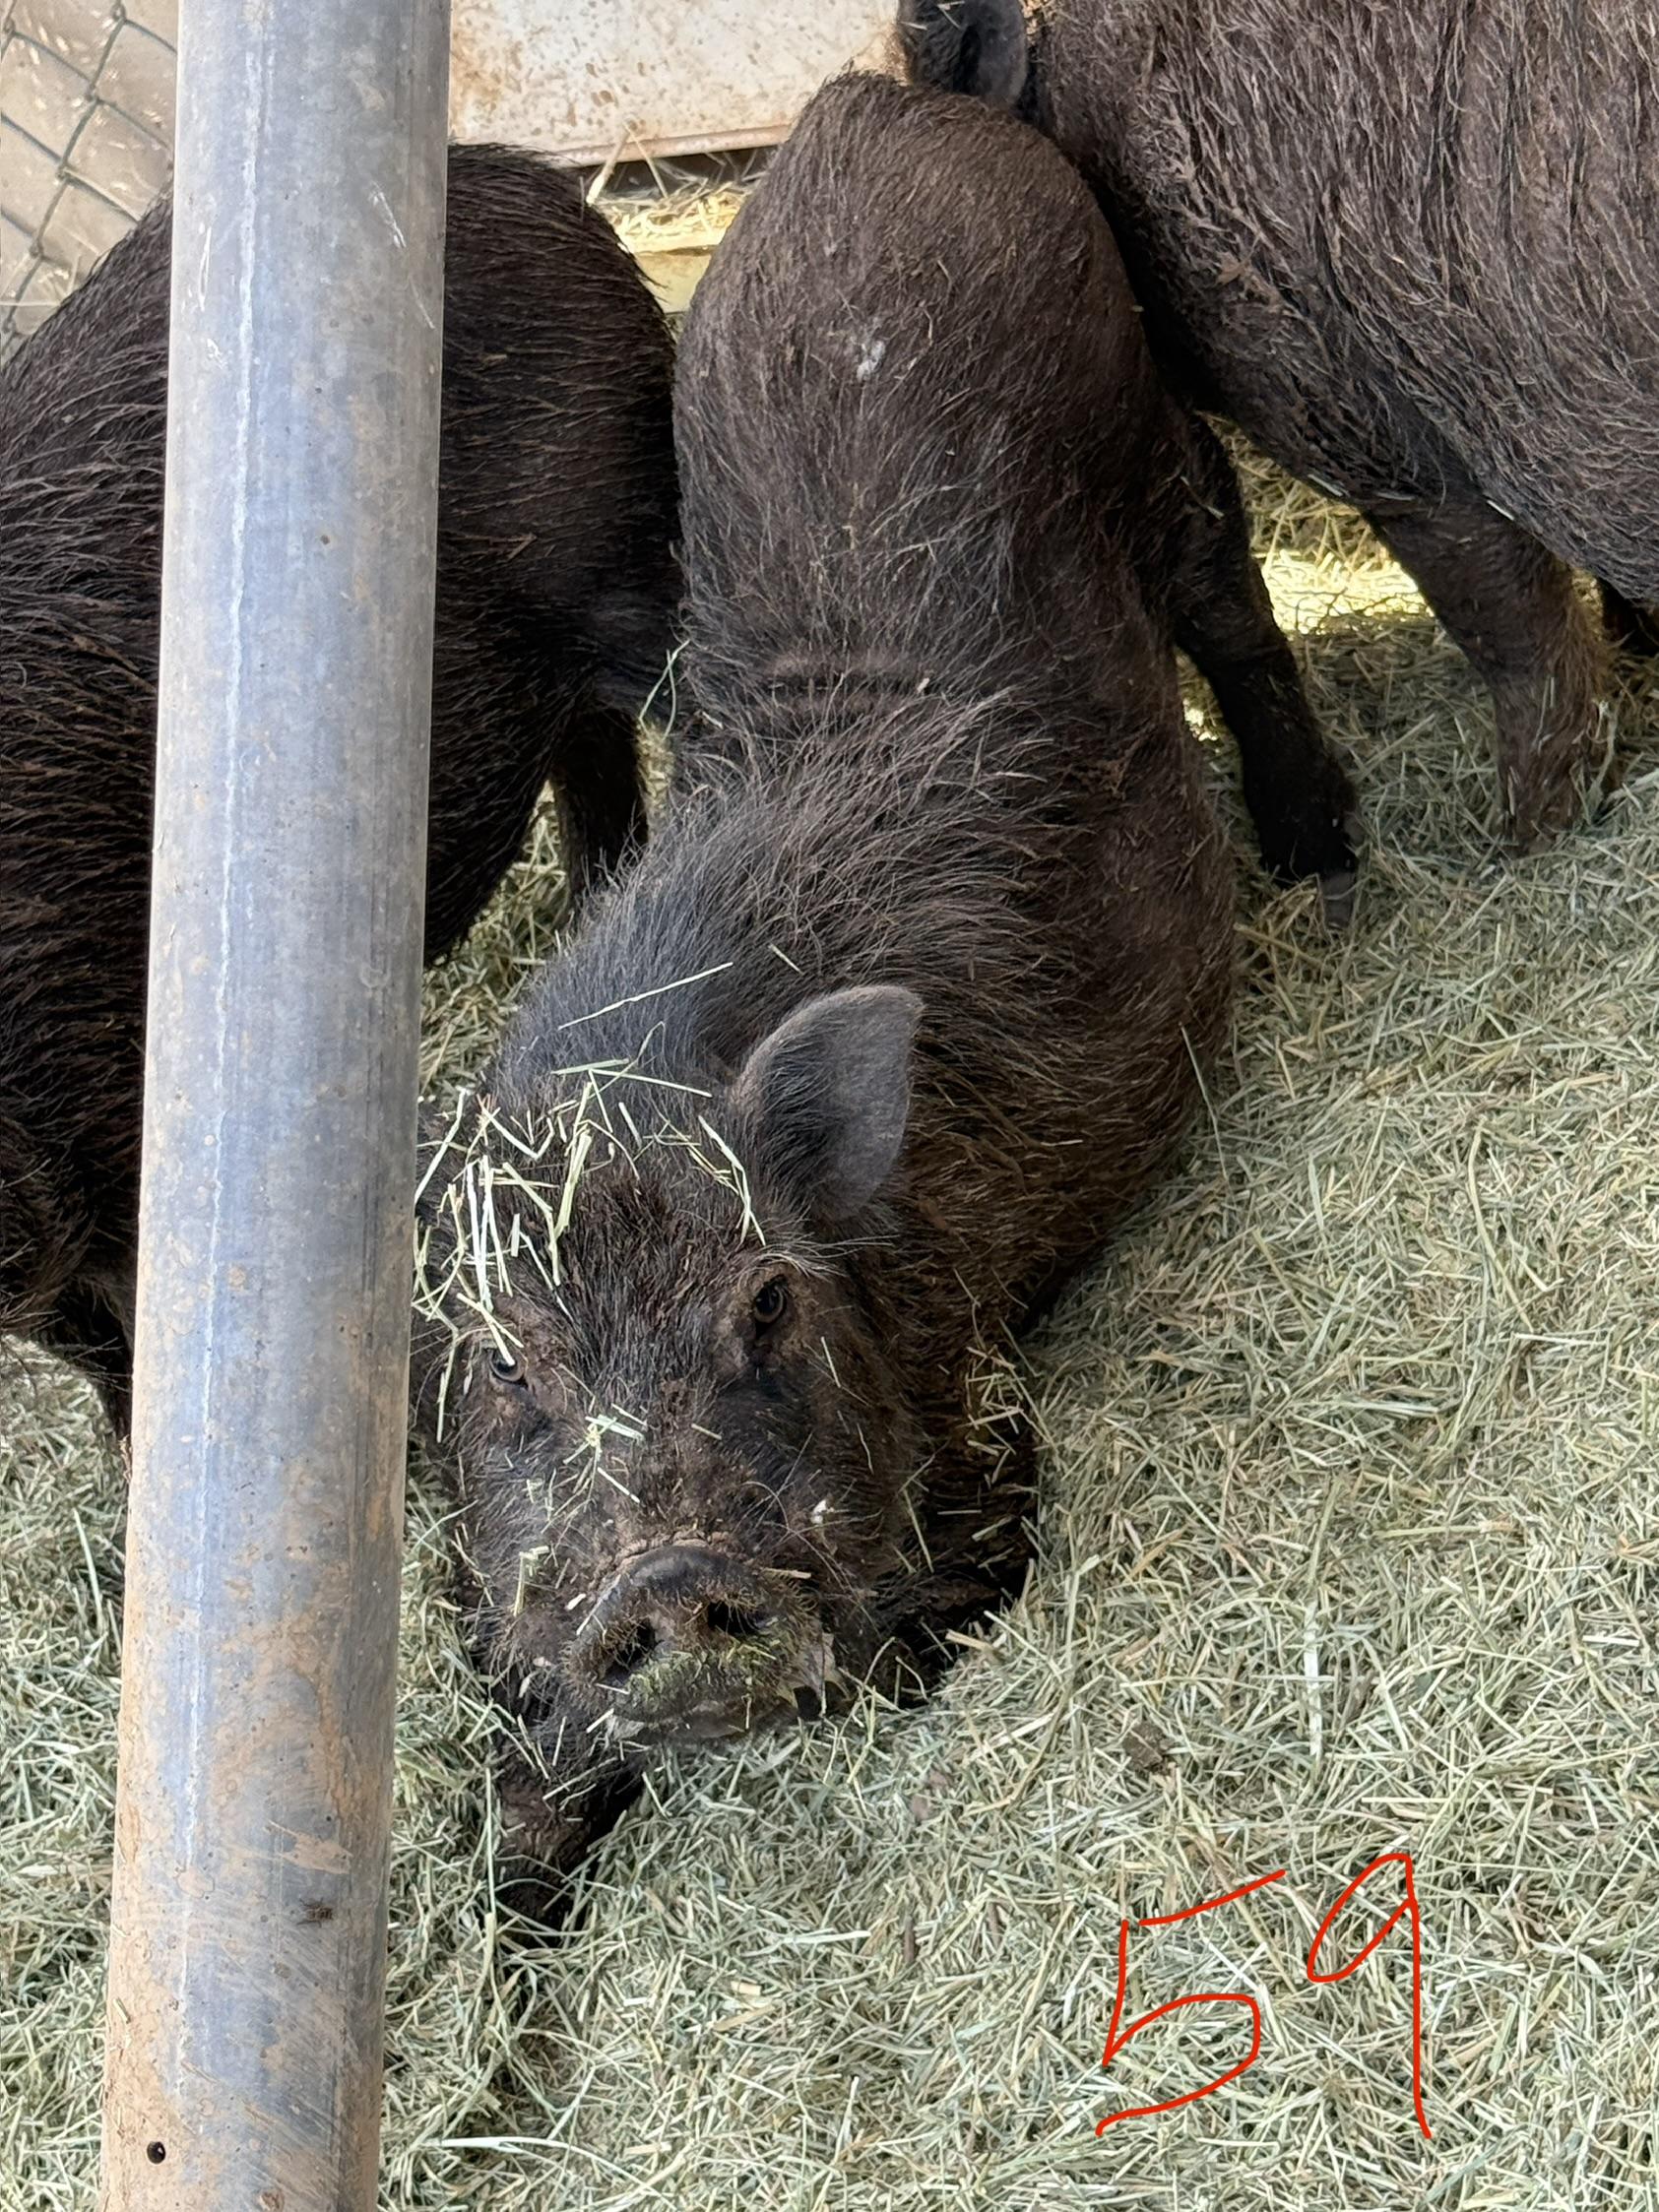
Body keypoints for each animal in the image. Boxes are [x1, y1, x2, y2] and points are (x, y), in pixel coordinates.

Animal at [411, 70, 1354, 1904]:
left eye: (768, 1303)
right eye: (503, 1366)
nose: (667, 1576)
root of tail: (877, 105)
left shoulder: (978, 1402)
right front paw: (512, 1911)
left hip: (1146, 412)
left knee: (1236, 607)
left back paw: (1328, 862)